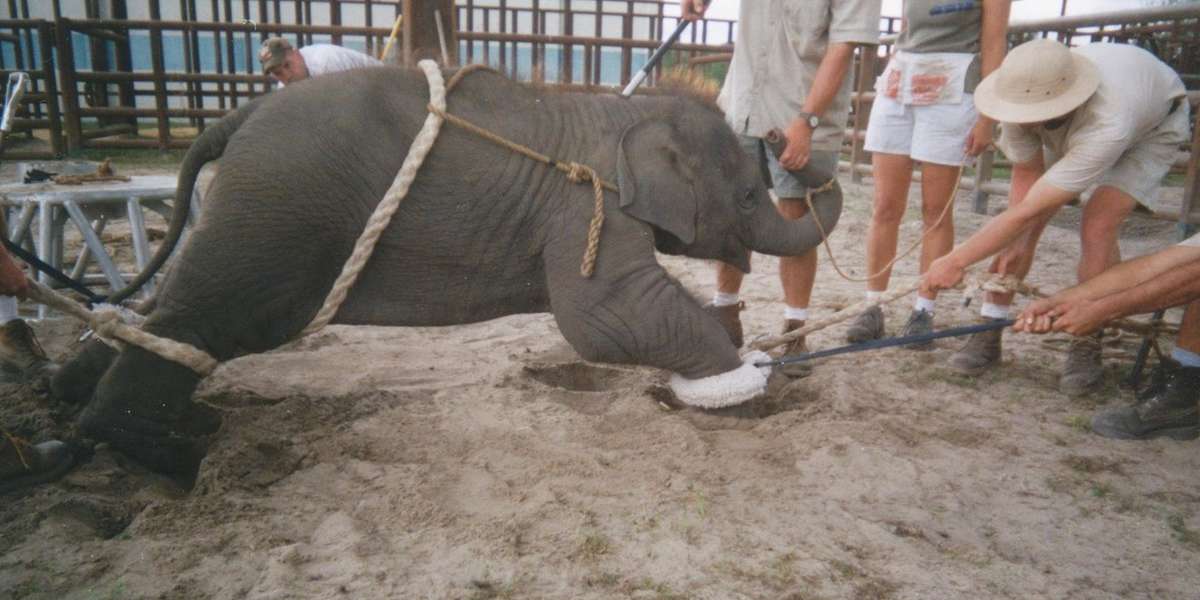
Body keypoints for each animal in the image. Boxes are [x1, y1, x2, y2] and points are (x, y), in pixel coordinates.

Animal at [45, 64, 844, 481]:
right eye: (749, 196)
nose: (789, 140)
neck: (625, 112)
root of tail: (234, 119)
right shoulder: (587, 205)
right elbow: (605, 317)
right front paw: (742, 387)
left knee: (174, 319)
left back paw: (78, 407)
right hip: (277, 212)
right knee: (208, 320)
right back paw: (184, 453)